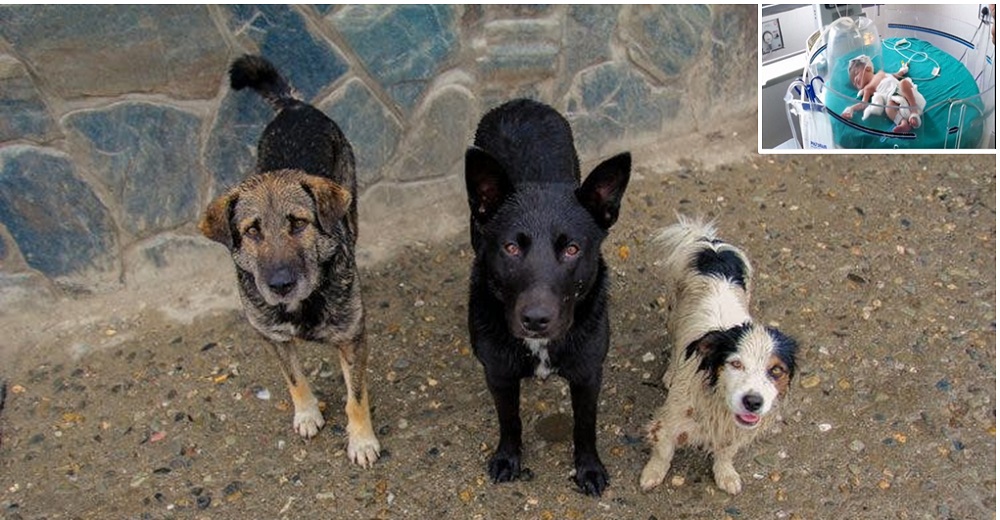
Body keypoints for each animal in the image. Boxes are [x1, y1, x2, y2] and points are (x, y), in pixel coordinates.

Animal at [201, 55, 380, 468]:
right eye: (252, 231)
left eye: (298, 223)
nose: (280, 283)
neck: (303, 304)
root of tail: (294, 106)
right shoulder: (272, 337)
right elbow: (295, 379)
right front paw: (308, 413)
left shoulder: (352, 338)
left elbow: (356, 397)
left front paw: (361, 439)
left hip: (351, 201)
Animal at [464, 98, 628, 496]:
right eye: (510, 247)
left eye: (571, 249)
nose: (536, 320)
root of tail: (520, 103)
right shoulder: (498, 374)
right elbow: (510, 422)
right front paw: (508, 458)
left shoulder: (588, 374)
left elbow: (584, 427)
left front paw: (588, 468)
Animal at [640, 216, 796, 496]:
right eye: (735, 363)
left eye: (776, 370)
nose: (753, 401)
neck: (717, 399)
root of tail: (711, 244)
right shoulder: (670, 420)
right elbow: (663, 452)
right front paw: (652, 474)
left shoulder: (735, 428)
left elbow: (725, 454)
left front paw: (726, 475)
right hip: (674, 312)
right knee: (675, 343)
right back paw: (670, 372)